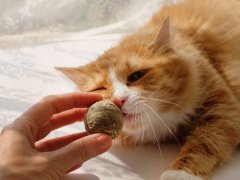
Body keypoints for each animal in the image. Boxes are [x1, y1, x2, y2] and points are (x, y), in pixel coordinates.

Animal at [56, 0, 240, 179]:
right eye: (100, 88)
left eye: (136, 76)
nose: (118, 100)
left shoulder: (223, 106)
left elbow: (206, 141)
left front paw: (179, 173)